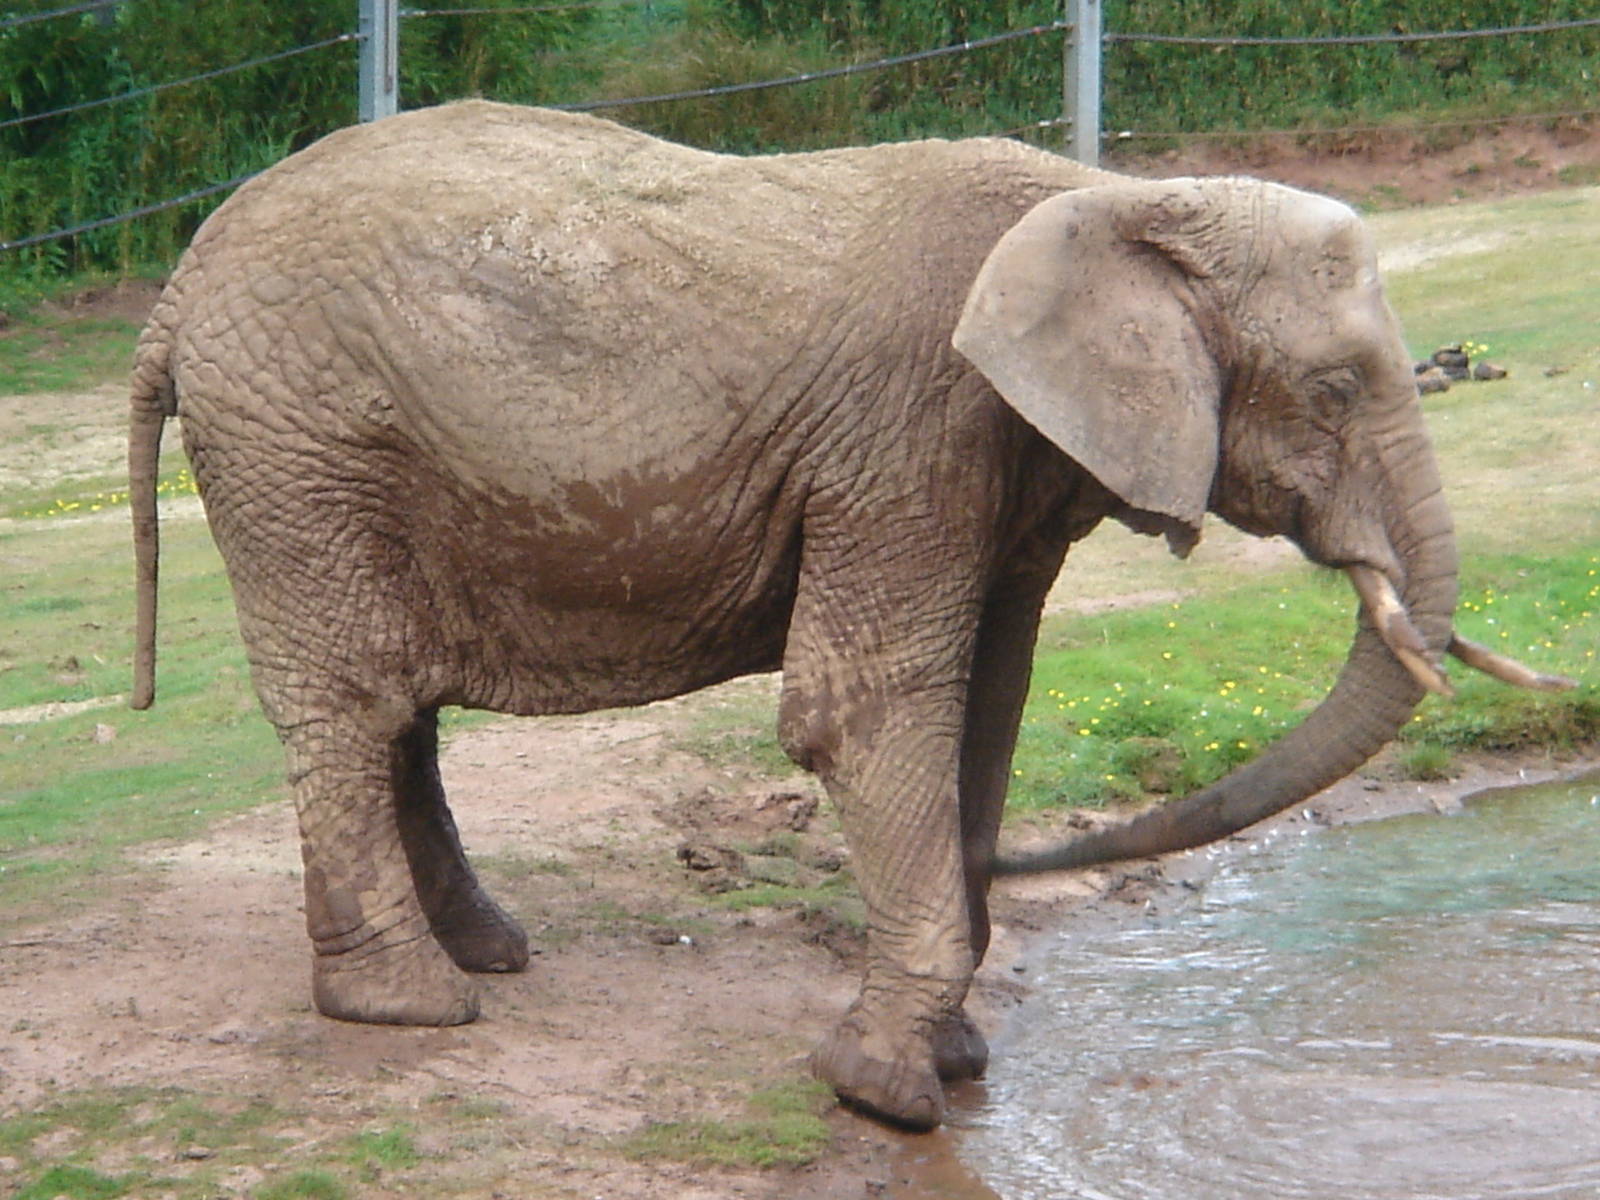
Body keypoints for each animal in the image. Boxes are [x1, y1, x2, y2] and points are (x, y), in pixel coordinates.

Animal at [128, 100, 1565, 1129]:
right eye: (1334, 391)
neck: (1109, 198)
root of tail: (177, 291)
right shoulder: (914, 434)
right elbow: (865, 710)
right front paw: (885, 1093)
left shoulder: (1002, 468)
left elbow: (991, 698)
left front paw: (957, 1054)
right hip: (299, 442)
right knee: (357, 694)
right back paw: (414, 1008)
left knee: (395, 700)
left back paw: (482, 958)